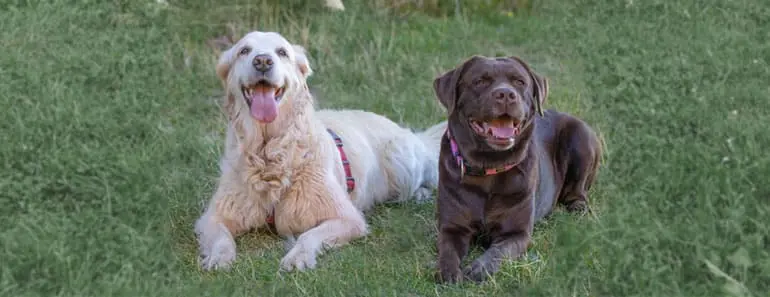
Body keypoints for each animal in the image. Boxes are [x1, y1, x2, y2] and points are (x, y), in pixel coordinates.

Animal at [192, 30, 444, 270]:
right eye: (244, 51)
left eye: (282, 52)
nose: (262, 61)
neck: (270, 153)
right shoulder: (212, 217)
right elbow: (222, 238)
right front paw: (219, 257)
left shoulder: (347, 218)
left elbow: (308, 236)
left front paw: (298, 258)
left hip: (402, 161)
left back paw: (420, 193)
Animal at [432, 55, 600, 282]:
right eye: (480, 81)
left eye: (519, 82)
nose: (505, 94)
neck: (490, 166)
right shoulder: (452, 228)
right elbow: (447, 250)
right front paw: (449, 272)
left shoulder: (517, 234)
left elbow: (499, 251)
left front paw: (480, 268)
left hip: (580, 136)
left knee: (578, 191)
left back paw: (578, 209)